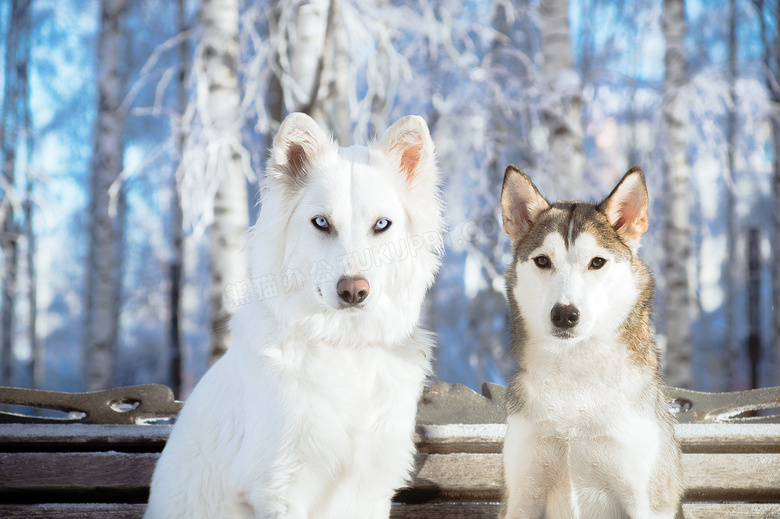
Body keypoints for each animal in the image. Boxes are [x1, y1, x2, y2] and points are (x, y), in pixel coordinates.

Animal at [143, 114, 442, 519]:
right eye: (321, 222)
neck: (345, 346)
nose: (353, 291)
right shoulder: (278, 489)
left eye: (382, 225)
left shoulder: (370, 491)